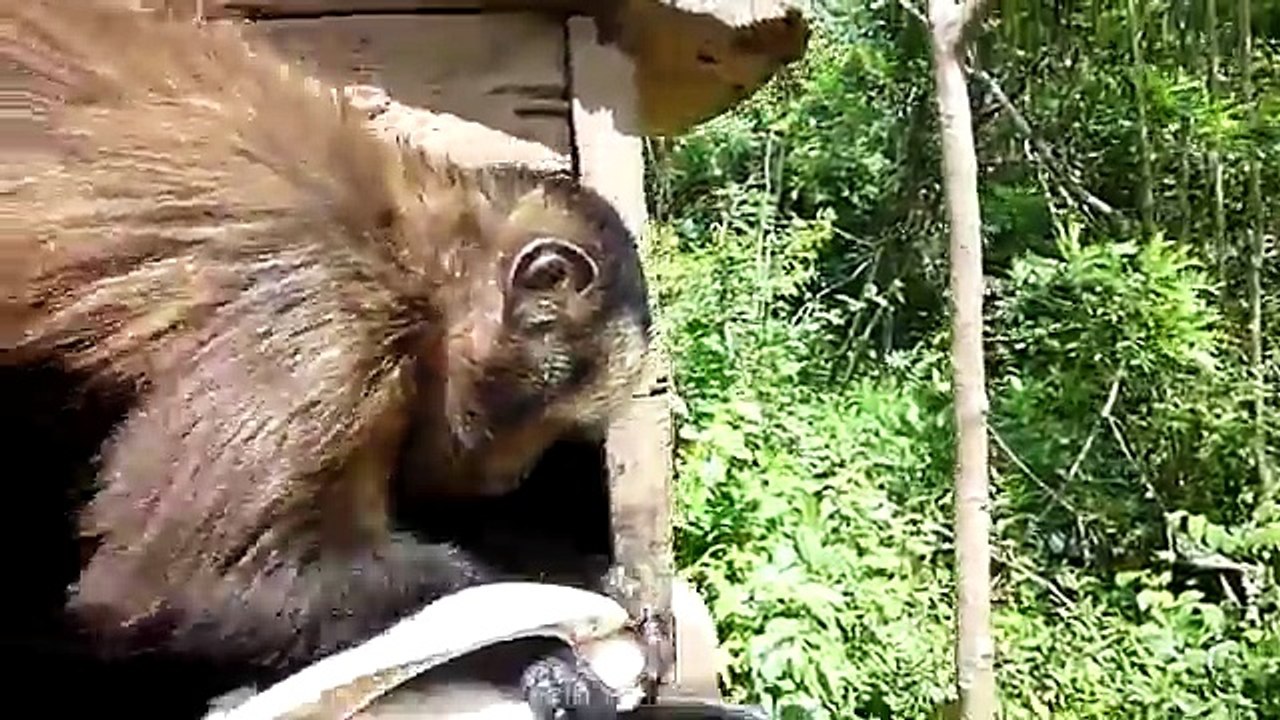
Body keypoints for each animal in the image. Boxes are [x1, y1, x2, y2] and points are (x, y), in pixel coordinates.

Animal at [2, 0, 654, 714]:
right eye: (546, 420)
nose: (514, 474)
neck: (414, 252)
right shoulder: (333, 324)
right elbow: (175, 583)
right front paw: (533, 636)